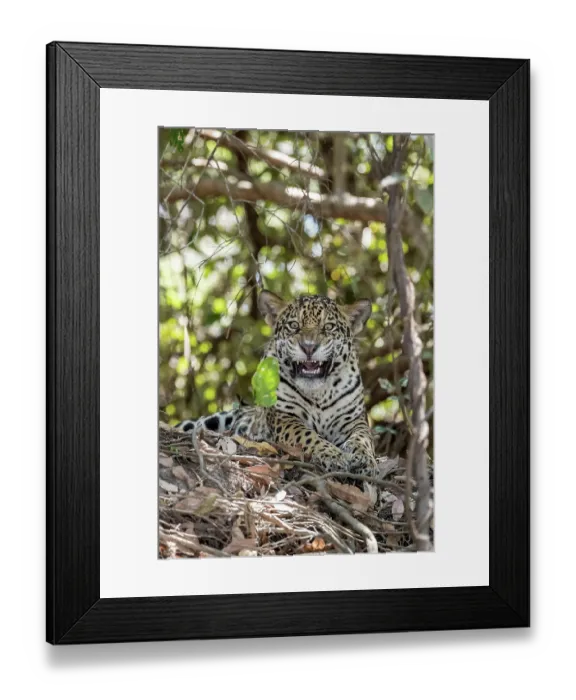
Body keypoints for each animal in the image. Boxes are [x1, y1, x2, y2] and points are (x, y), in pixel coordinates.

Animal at [176, 291, 377, 474]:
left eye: (328, 327)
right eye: (294, 325)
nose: (309, 347)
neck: (319, 394)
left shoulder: (354, 419)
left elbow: (363, 437)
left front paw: (364, 459)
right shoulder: (286, 417)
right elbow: (308, 435)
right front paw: (332, 455)